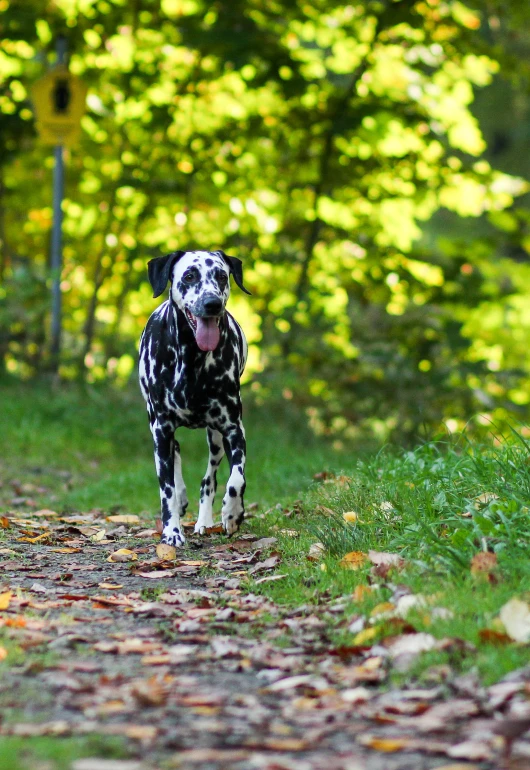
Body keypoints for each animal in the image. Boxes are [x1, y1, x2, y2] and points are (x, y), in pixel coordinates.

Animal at [138, 248, 250, 544]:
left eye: (221, 276)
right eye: (189, 276)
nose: (212, 303)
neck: (193, 358)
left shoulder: (234, 429)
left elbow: (237, 479)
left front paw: (233, 513)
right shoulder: (162, 429)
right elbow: (166, 490)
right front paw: (172, 532)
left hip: (216, 438)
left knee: (209, 479)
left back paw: (205, 520)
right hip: (157, 425)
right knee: (176, 453)